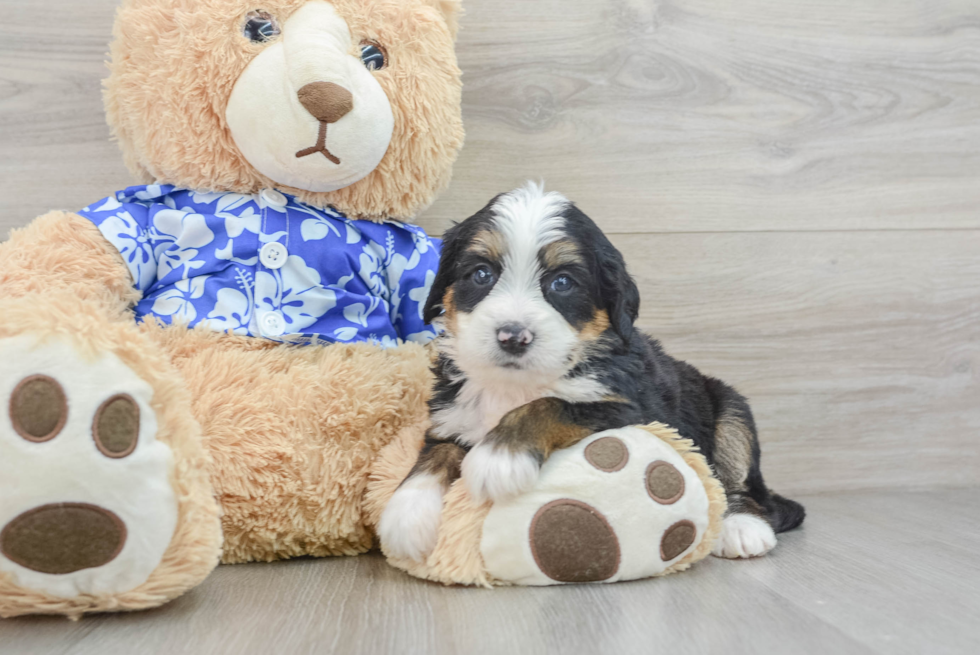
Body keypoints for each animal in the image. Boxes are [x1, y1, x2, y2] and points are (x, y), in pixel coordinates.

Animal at [376, 184, 804, 564]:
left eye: (562, 282)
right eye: (481, 274)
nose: (513, 336)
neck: (515, 384)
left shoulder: (631, 410)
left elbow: (550, 404)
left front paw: (499, 456)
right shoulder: (452, 414)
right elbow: (433, 456)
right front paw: (405, 515)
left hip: (731, 411)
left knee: (739, 484)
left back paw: (742, 528)